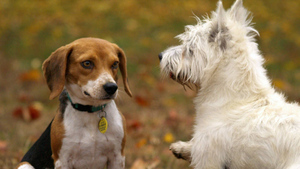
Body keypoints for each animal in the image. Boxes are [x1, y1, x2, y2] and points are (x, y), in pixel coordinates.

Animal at [16, 37, 132, 169]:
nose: (111, 87)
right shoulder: (63, 160)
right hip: (25, 165)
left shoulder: (117, 157)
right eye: (87, 63)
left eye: (115, 64)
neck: (90, 111)